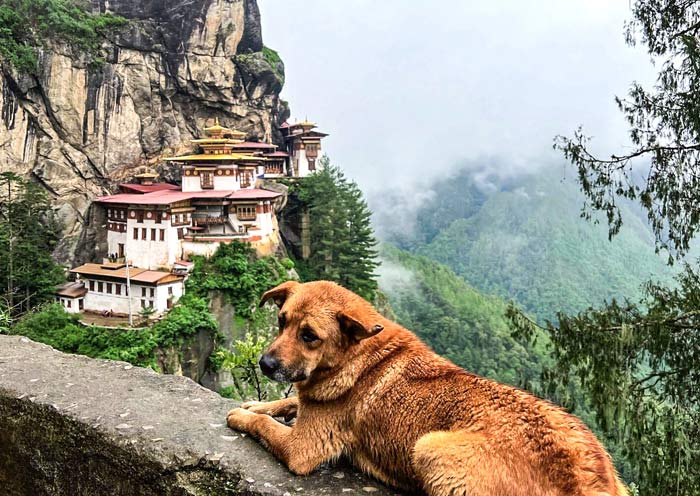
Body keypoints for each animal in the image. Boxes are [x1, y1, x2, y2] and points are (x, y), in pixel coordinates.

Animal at [226, 280, 628, 494]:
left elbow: (265, 424)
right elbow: (283, 404)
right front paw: (254, 404)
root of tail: (583, 479)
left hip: (431, 448)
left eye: (309, 336)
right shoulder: (310, 402)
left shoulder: (301, 447)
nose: (265, 364)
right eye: (281, 322)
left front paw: (240, 416)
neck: (357, 355)